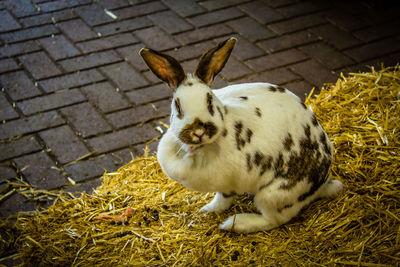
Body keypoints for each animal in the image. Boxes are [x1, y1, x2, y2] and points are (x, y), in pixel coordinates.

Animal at [139, 36, 342, 233]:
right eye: (178, 106)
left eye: (209, 101)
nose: (199, 132)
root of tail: (321, 184)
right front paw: (205, 210)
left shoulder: (229, 182)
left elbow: (223, 199)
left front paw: (210, 210)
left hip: (273, 195)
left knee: (274, 220)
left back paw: (235, 224)